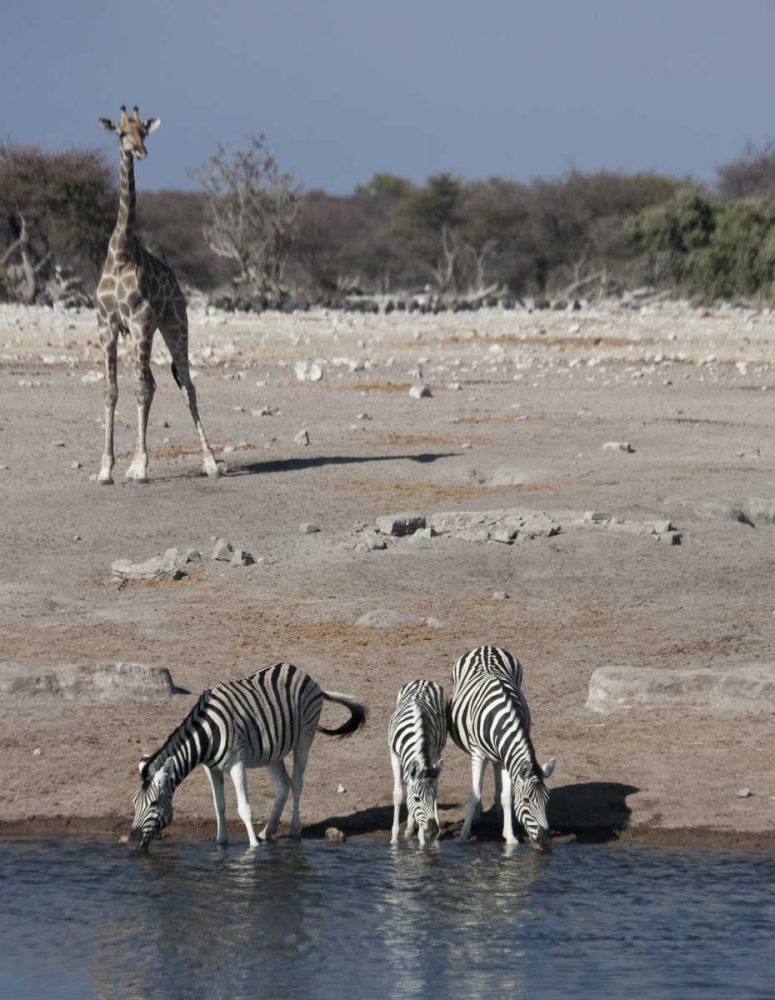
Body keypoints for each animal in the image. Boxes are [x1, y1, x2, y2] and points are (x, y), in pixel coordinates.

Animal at [95, 105, 219, 484]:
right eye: (121, 133)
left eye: (144, 132)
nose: (140, 151)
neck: (121, 252)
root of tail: (178, 284)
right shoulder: (107, 325)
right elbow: (112, 391)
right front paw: (105, 468)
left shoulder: (140, 321)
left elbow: (138, 389)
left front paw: (139, 466)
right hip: (144, 334)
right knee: (152, 382)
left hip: (174, 325)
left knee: (186, 385)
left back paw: (211, 462)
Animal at [128, 662, 367, 851]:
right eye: (134, 803)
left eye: (154, 803)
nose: (131, 842)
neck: (206, 735)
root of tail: (305, 674)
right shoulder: (210, 768)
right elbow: (219, 805)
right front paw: (221, 842)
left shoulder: (236, 763)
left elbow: (244, 808)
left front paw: (252, 848)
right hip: (274, 750)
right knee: (283, 785)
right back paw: (267, 832)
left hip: (304, 739)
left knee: (297, 783)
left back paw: (293, 830)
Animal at [388, 679, 447, 845]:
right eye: (417, 799)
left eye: (432, 798)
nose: (432, 832)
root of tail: (424, 680)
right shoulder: (394, 756)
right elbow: (398, 794)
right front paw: (394, 839)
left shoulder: (431, 755)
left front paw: (421, 840)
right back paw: (408, 828)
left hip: (437, 753)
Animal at [448, 646, 556, 849]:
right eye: (527, 800)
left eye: (547, 799)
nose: (544, 840)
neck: (500, 717)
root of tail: (486, 647)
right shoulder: (479, 754)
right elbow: (474, 795)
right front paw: (463, 835)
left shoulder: (507, 757)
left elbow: (507, 796)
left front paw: (510, 836)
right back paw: (478, 815)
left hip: (499, 755)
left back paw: (498, 813)